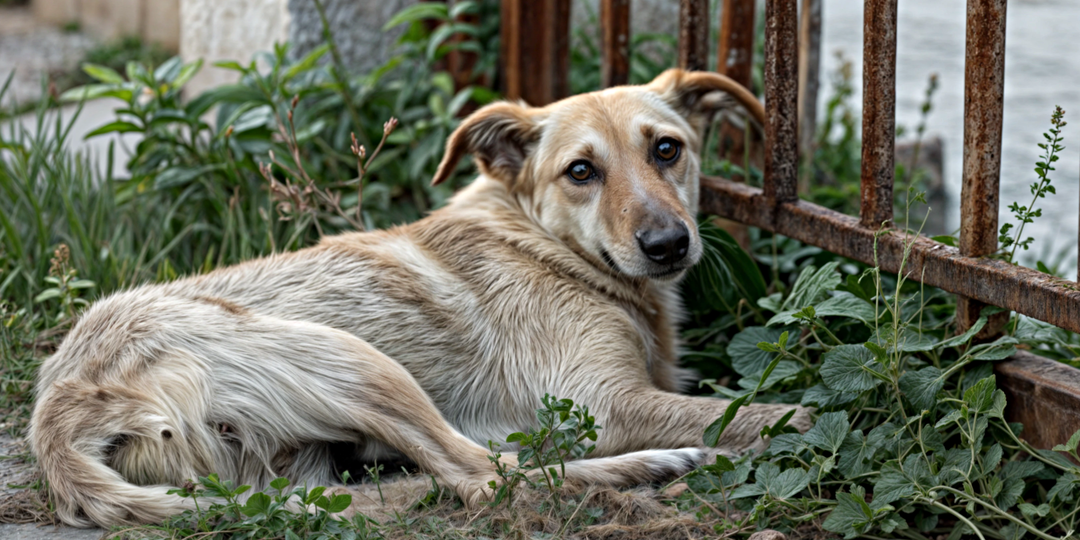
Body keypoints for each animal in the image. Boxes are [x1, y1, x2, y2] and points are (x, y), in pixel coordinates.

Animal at [29, 68, 812, 527]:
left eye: (667, 150)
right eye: (581, 171)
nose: (668, 245)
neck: (543, 242)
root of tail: (59, 412)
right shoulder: (604, 402)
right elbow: (762, 414)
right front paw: (788, 425)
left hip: (306, 455)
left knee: (429, 483)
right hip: (351, 359)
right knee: (488, 478)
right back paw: (656, 467)